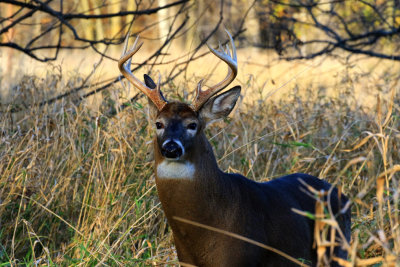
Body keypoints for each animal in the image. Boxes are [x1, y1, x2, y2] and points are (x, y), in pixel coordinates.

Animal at [119, 31, 350, 267]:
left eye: (193, 124)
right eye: (159, 124)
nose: (171, 147)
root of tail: (341, 194)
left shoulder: (240, 258)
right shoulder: (185, 260)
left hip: (337, 249)